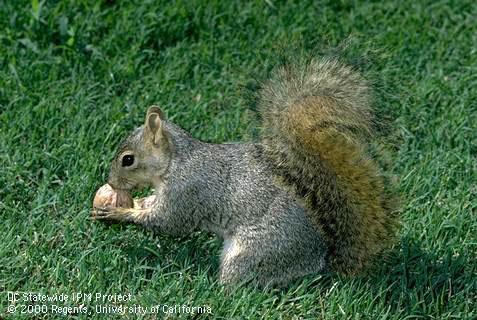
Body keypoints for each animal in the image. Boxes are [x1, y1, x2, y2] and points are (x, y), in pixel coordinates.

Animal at [92, 56, 398, 286]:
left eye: (128, 160)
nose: (111, 181)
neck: (175, 162)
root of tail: (319, 260)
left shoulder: (188, 192)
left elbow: (169, 222)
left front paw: (119, 213)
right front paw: (136, 202)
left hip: (255, 252)